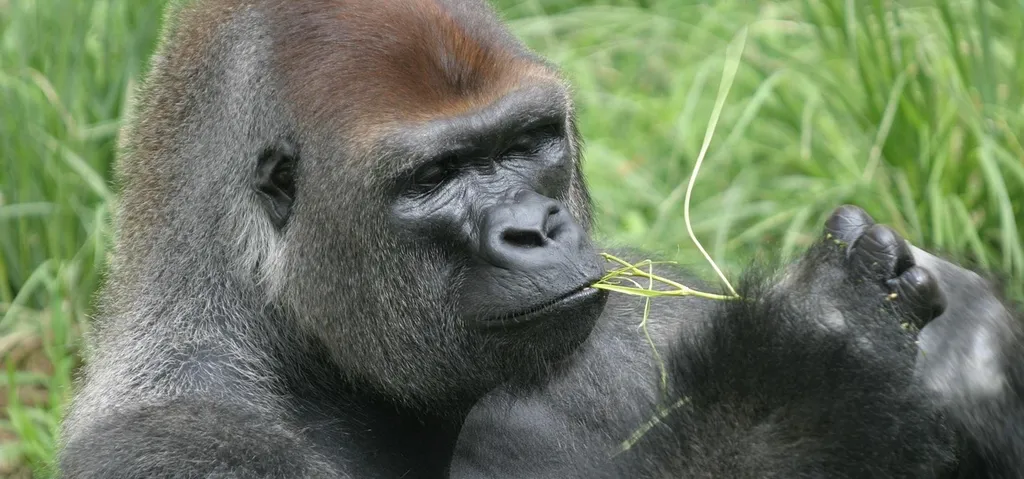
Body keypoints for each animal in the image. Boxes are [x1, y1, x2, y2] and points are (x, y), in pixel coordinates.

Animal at [57, 0, 1023, 477]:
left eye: (529, 143)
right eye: (437, 177)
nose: (534, 228)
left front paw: (976, 356)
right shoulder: (180, 440)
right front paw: (811, 371)